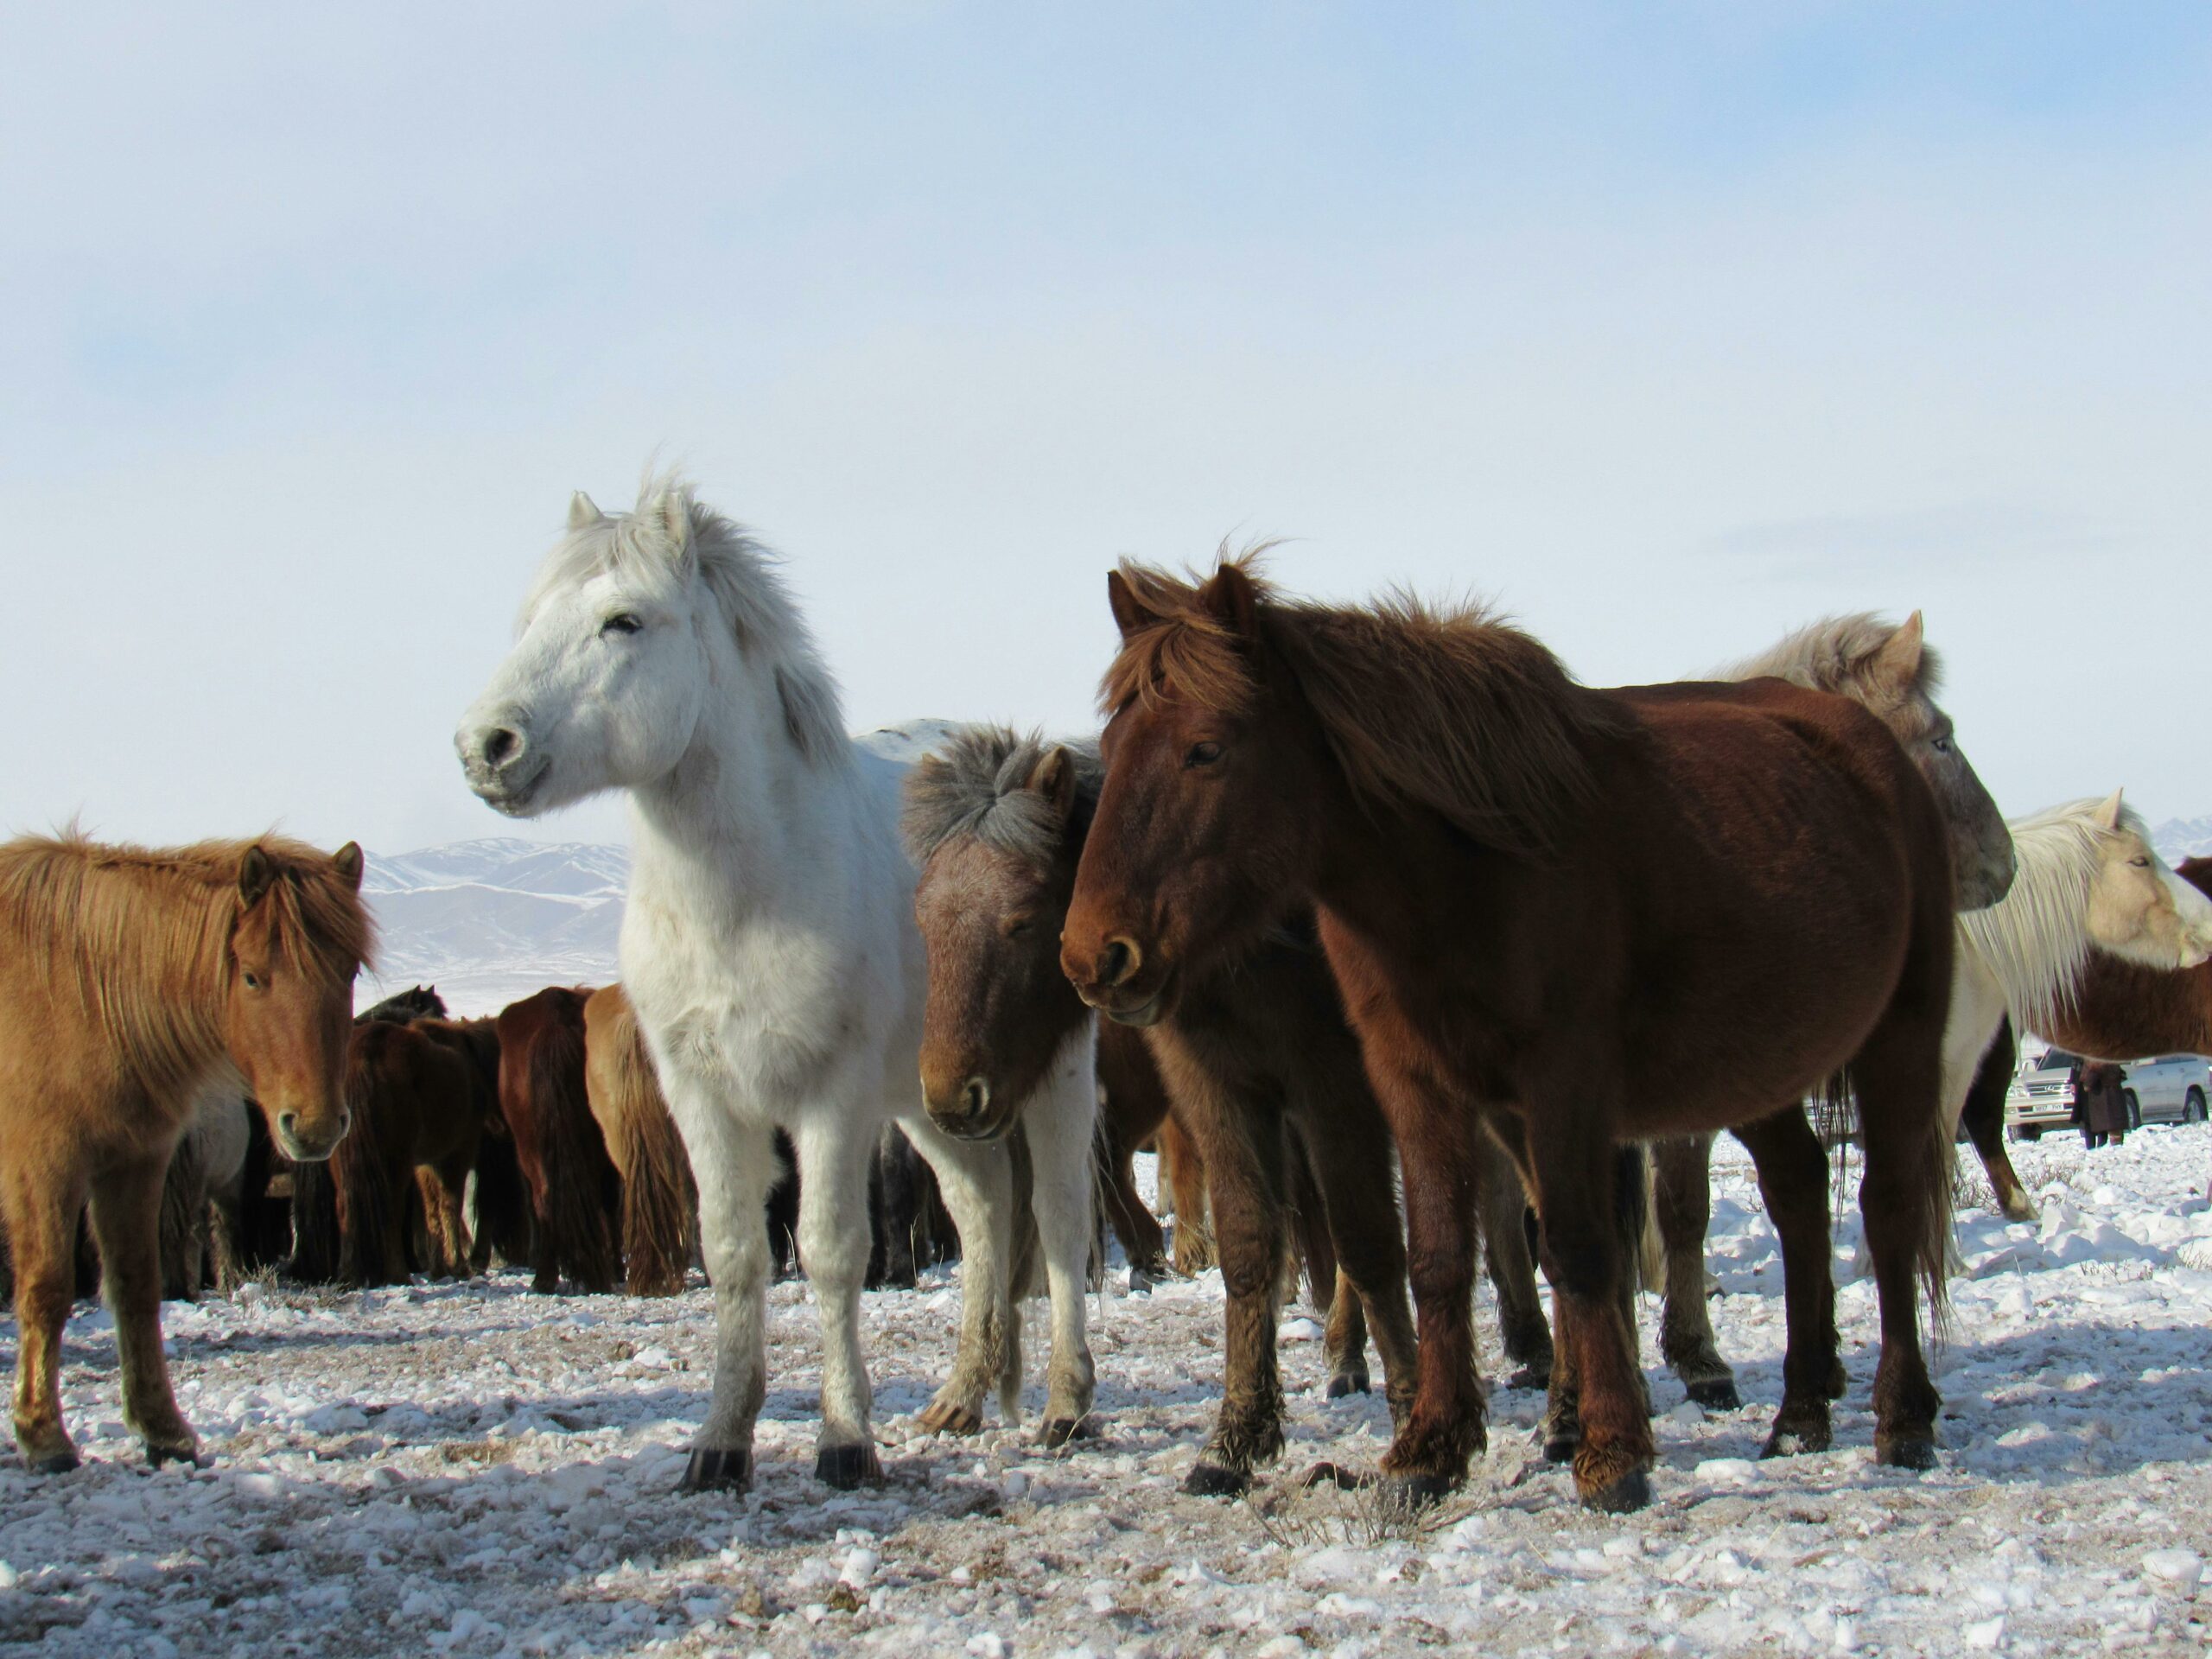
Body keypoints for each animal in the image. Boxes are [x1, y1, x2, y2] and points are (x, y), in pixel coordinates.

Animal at [0, 836, 366, 1478]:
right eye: (253, 977)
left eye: (347, 973)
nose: (315, 1125)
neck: (78, 996)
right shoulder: (41, 1167)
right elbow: (46, 1289)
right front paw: (43, 1436)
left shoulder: (134, 1164)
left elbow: (137, 1285)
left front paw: (163, 1430)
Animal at [906, 725, 1424, 1495]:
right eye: (923, 917)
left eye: (1022, 920)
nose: (949, 1098)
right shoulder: (1218, 1092)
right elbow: (1253, 1245)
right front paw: (1240, 1440)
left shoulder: (1334, 1085)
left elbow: (1367, 1241)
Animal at [1065, 562, 1955, 1522]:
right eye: (1111, 750)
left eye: (1206, 749)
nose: (1094, 955)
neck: (1469, 868)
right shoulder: (1411, 1083)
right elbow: (1439, 1257)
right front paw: (1428, 1451)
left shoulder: (1557, 1081)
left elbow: (1577, 1247)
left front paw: (1611, 1454)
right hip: (1755, 1071)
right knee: (1797, 1192)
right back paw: (1797, 1414)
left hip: (1900, 1040)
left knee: (1887, 1210)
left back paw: (1902, 1419)